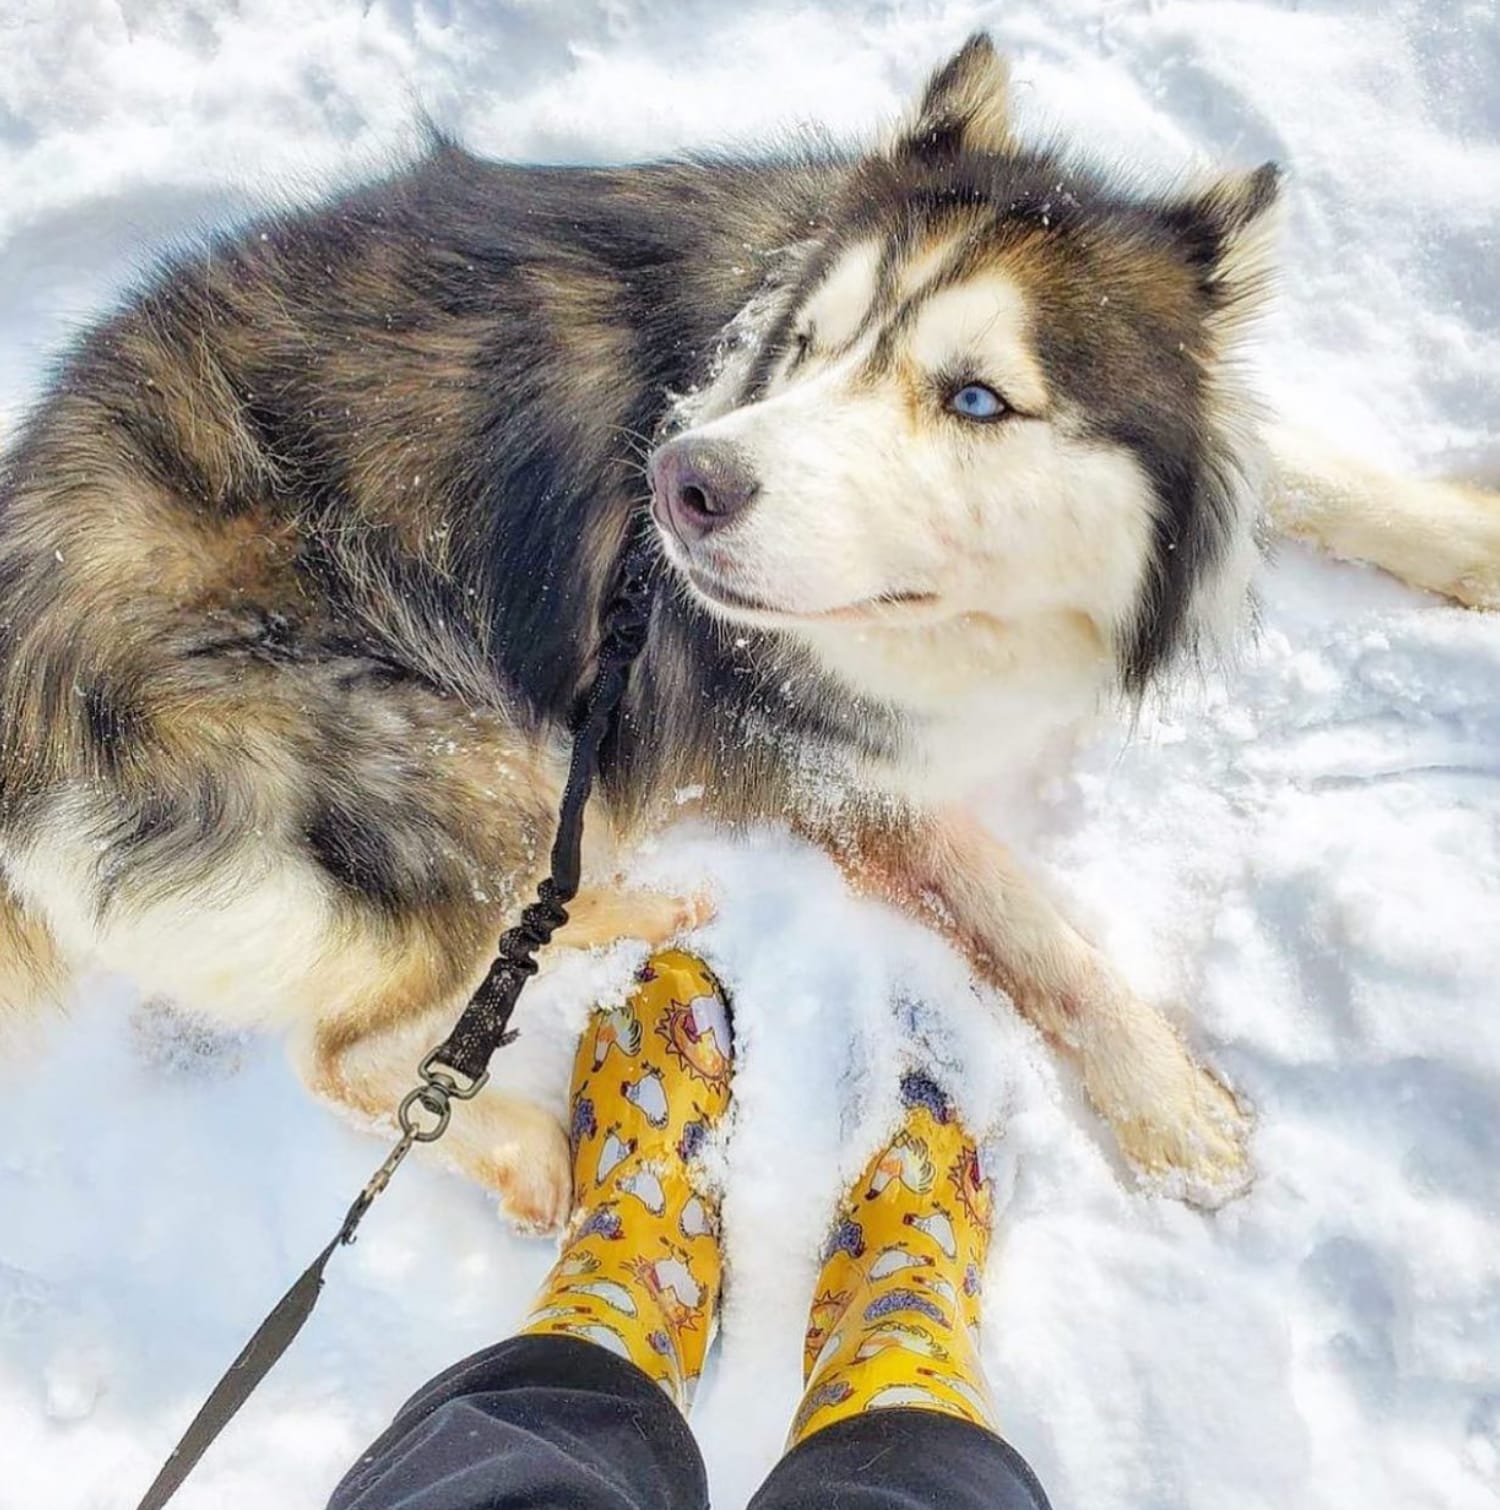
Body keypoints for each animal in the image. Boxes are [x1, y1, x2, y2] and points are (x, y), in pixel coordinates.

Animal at [0, 35, 1492, 1220]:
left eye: (978, 399)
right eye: (813, 345)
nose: (684, 480)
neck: (987, 620)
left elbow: (1295, 462)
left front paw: (1462, 538)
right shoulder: (825, 762)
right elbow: (1027, 919)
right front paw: (1168, 1103)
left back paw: (626, 909)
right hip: (455, 751)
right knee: (353, 1050)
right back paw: (534, 1145)